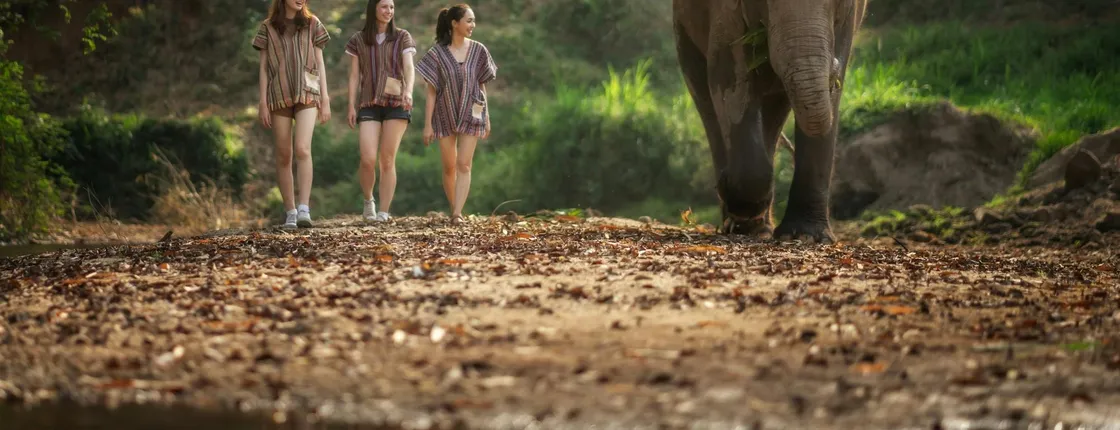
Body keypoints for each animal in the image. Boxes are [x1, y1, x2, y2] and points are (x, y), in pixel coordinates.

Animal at [672, 0, 867, 243]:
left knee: (774, 108)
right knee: (705, 99)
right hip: (682, 30)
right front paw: (738, 204)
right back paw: (741, 220)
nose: (834, 65)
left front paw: (806, 236)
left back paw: (757, 226)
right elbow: (730, 76)